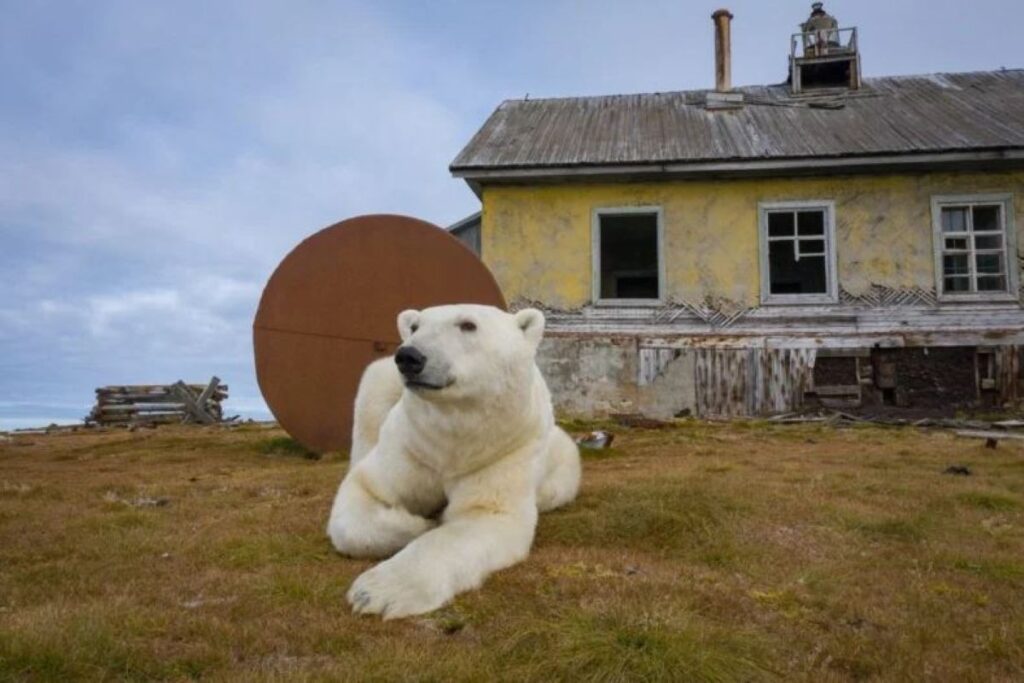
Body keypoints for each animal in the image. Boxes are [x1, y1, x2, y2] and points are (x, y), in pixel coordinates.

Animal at [326, 304, 581, 619]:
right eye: (415, 326)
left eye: (468, 324)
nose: (409, 357)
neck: (453, 441)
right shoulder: (412, 445)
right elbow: (365, 491)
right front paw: (418, 524)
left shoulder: (504, 449)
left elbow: (484, 514)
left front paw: (377, 592)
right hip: (382, 384)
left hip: (561, 455)